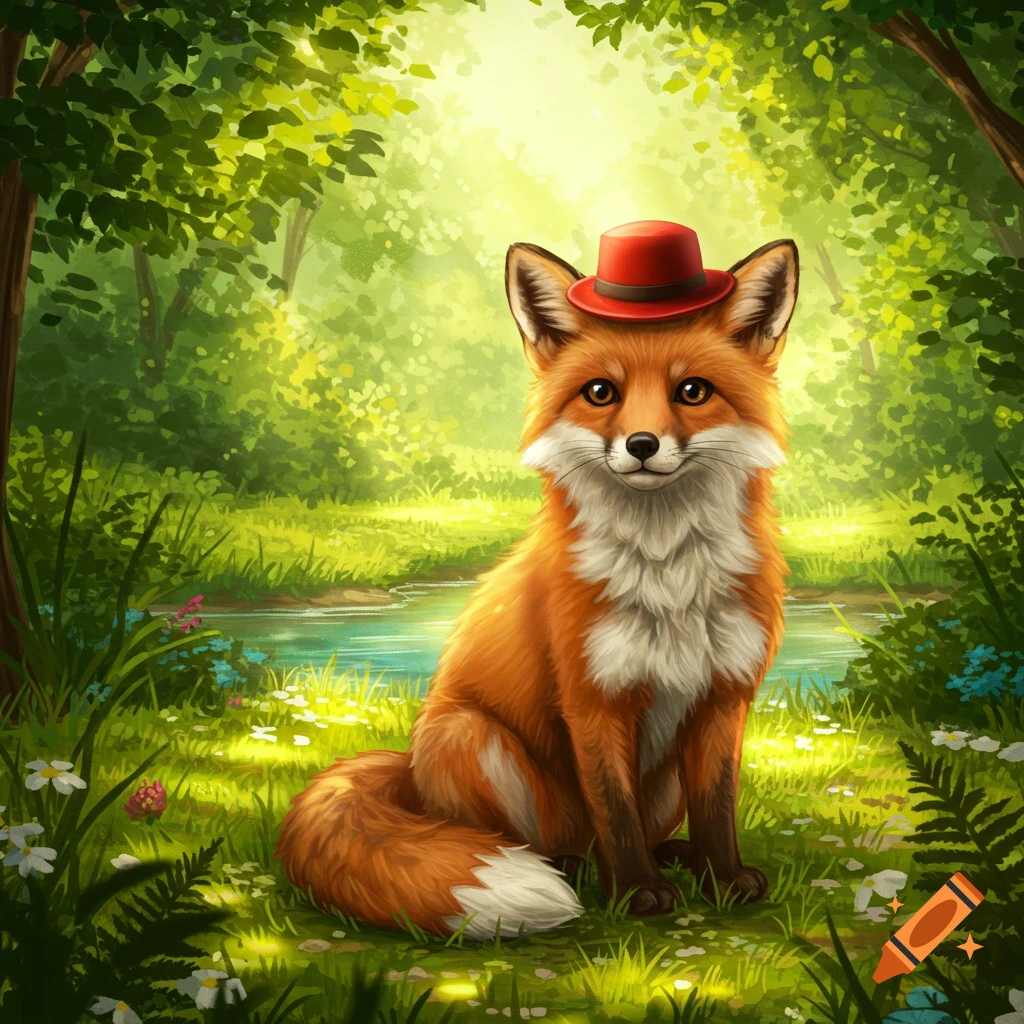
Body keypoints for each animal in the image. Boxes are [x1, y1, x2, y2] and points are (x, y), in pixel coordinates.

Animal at [276, 224, 799, 939]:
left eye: (692, 391)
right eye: (601, 393)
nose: (641, 444)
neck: (667, 574)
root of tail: (407, 769)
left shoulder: (723, 695)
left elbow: (717, 806)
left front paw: (723, 878)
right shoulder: (591, 699)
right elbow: (614, 813)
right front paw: (637, 893)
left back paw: (675, 857)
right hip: (472, 737)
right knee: (538, 841)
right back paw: (573, 873)